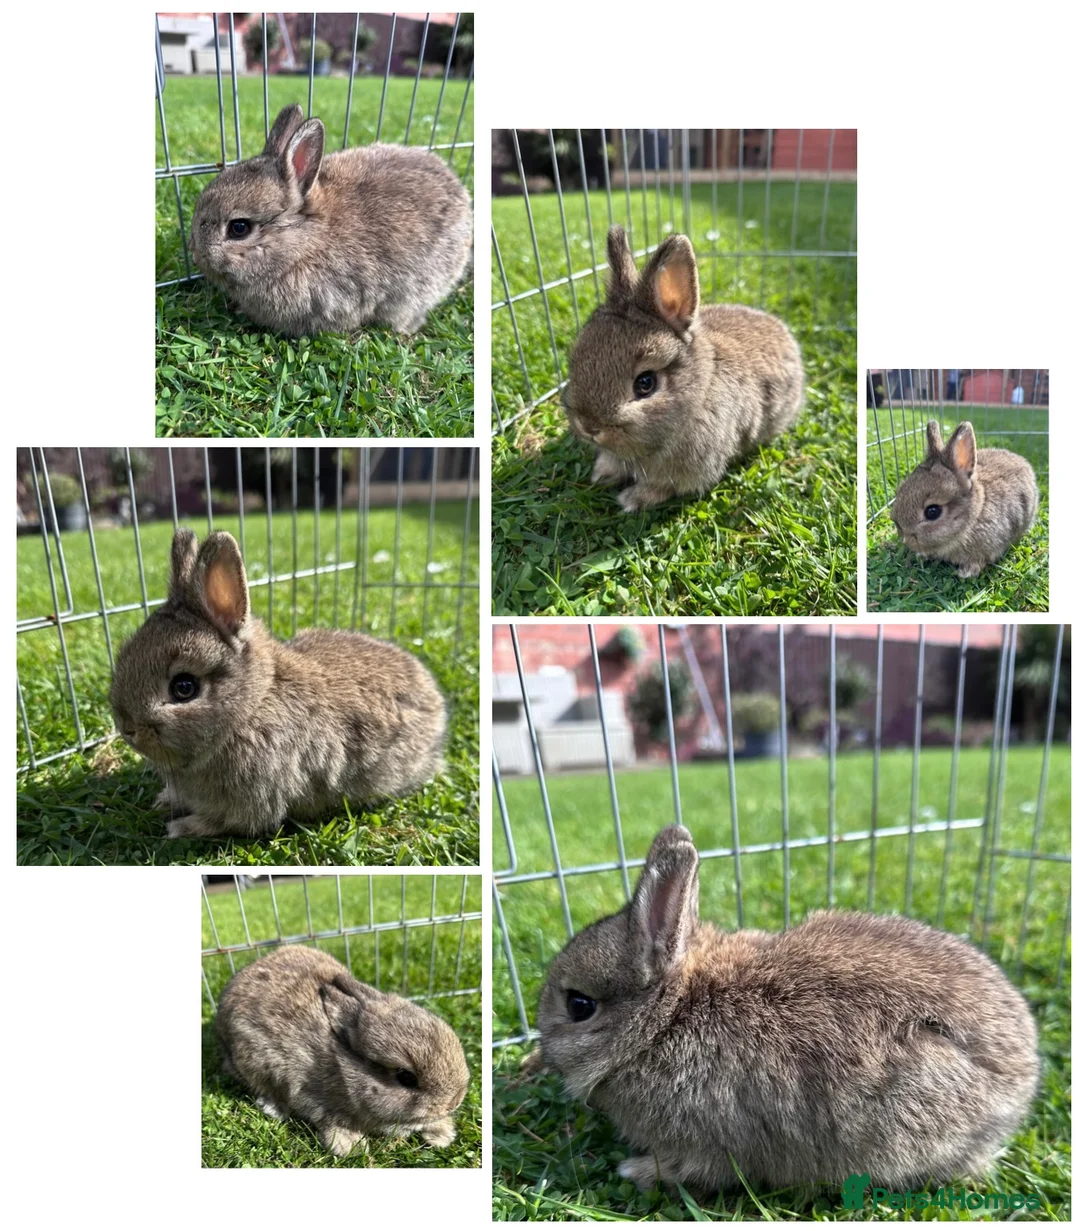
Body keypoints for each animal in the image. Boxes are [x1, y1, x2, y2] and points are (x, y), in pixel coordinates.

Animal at [109, 528, 446, 839]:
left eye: (184, 688)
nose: (128, 729)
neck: (250, 707)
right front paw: (164, 801)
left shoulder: (253, 800)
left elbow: (223, 822)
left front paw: (179, 828)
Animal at [215, 945, 469, 1155]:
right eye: (406, 1077)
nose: (454, 1103)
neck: (343, 1066)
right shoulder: (307, 1093)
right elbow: (330, 1119)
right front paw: (351, 1146)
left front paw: (443, 1134)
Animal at [536, 824, 1038, 1195]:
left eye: (579, 1005)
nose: (542, 1052)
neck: (668, 1017)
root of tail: (1026, 1081)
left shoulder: (706, 1141)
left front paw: (634, 1171)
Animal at [561, 226, 804, 512]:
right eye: (575, 359)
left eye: (645, 383)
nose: (589, 426)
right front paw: (602, 474)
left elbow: (662, 488)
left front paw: (632, 500)